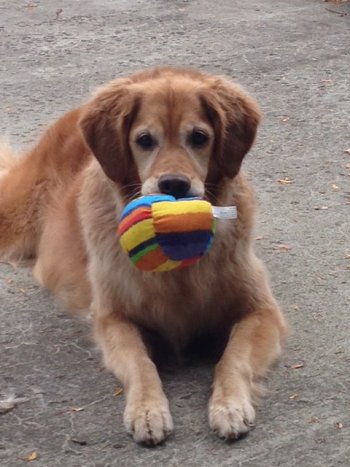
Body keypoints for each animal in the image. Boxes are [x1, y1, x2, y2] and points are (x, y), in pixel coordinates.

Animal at [0, 68, 288, 446]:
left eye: (199, 137)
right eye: (145, 140)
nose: (174, 185)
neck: (179, 274)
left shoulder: (261, 310)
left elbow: (232, 358)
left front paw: (229, 405)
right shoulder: (112, 317)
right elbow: (140, 363)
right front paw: (148, 411)